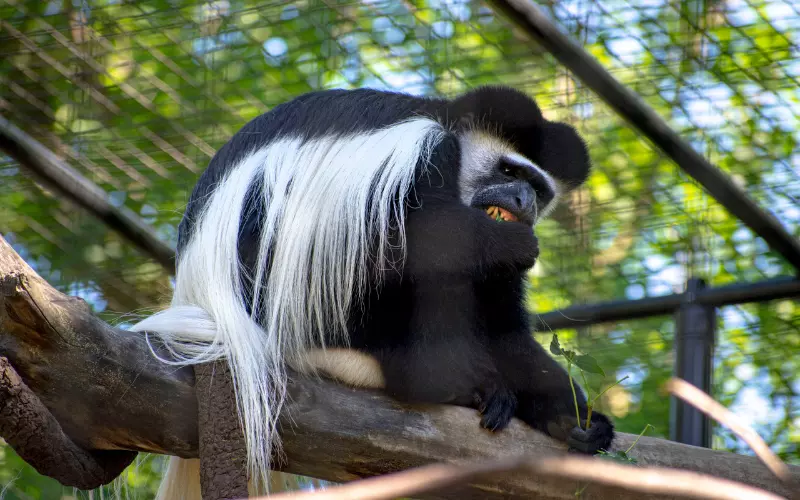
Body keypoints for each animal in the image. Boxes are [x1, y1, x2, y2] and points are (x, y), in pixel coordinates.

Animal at [133, 87, 612, 500]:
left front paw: (572, 417)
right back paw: (439, 376)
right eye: (510, 171)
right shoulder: (426, 149)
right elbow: (409, 239)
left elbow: (504, 323)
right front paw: (509, 243)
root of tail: (211, 311)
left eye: (540, 188)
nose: (524, 199)